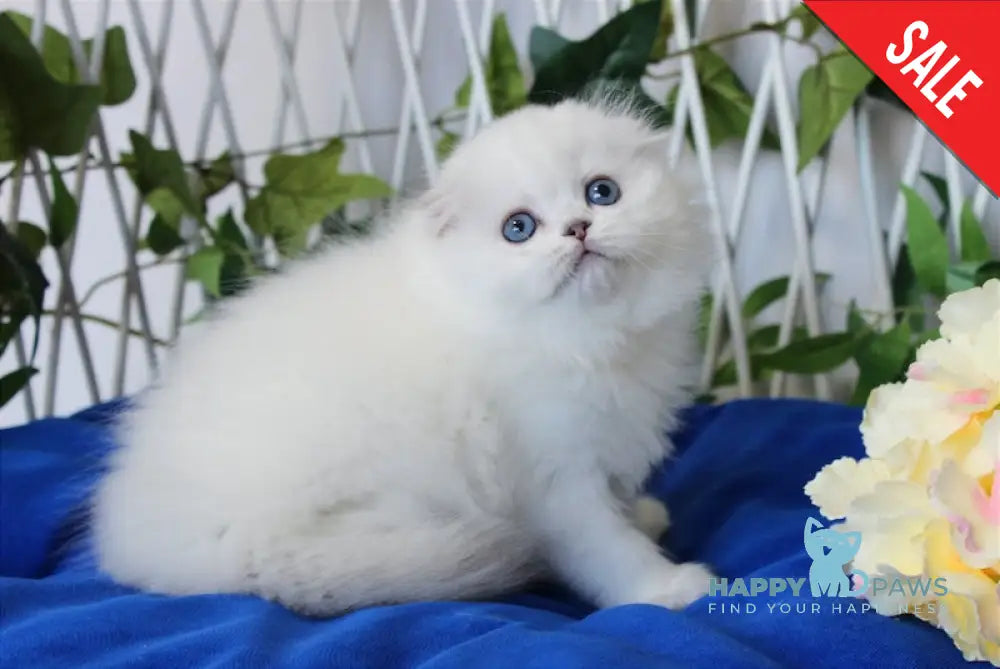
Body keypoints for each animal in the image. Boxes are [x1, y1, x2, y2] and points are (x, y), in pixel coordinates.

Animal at [94, 96, 716, 612]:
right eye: (519, 228)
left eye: (601, 192)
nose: (579, 228)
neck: (585, 340)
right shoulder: (552, 477)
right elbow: (604, 548)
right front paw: (665, 587)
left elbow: (619, 506)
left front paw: (644, 517)